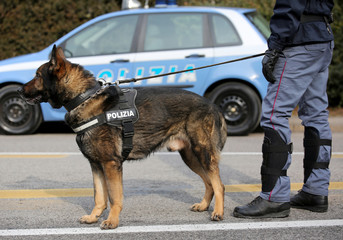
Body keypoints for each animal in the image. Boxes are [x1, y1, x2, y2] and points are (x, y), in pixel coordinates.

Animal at [18, 46, 228, 230]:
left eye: (37, 75)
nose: (19, 91)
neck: (84, 97)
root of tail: (212, 104)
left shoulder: (111, 164)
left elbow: (113, 197)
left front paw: (112, 221)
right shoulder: (96, 165)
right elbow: (99, 196)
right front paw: (94, 217)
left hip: (202, 153)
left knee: (219, 184)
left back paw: (218, 212)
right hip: (190, 157)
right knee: (209, 182)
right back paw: (204, 206)